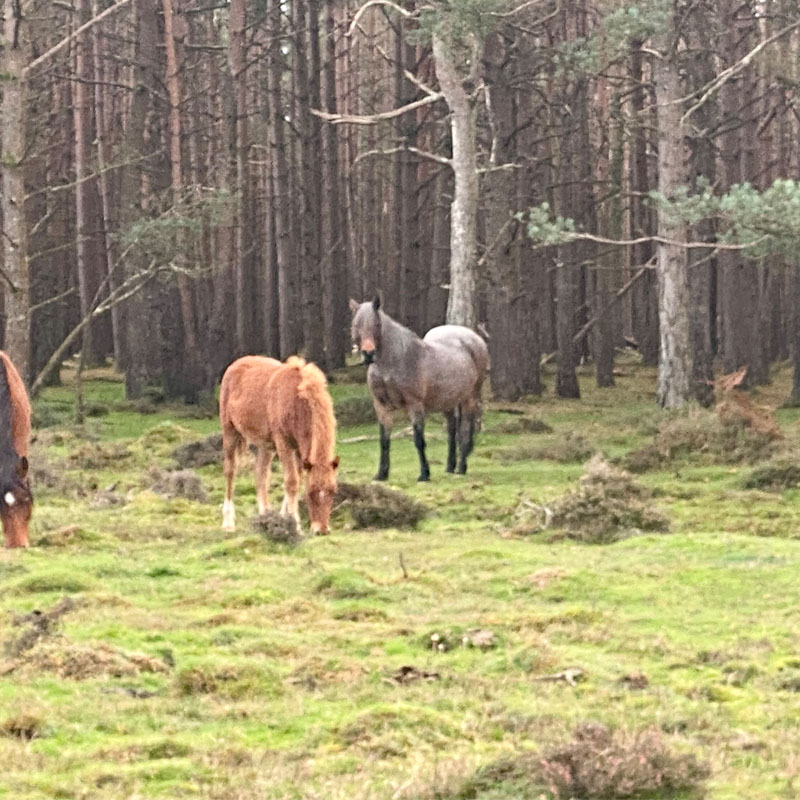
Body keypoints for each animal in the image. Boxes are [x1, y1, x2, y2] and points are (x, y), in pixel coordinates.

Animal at [217, 354, 340, 532]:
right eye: (311, 493)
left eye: (333, 491)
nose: (321, 530)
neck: (296, 401)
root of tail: (234, 366)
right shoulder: (284, 444)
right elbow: (292, 482)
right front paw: (295, 524)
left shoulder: (299, 449)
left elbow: (296, 480)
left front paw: (284, 518)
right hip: (230, 432)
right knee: (230, 471)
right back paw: (228, 522)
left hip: (265, 446)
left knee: (260, 475)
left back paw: (264, 517)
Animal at [348, 298, 488, 482]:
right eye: (356, 324)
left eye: (377, 324)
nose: (368, 353)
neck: (395, 361)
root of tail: (474, 338)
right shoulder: (381, 405)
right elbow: (384, 440)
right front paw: (381, 474)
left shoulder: (415, 404)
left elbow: (418, 439)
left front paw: (424, 474)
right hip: (448, 401)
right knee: (452, 428)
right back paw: (450, 466)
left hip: (469, 397)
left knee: (465, 429)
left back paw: (461, 467)